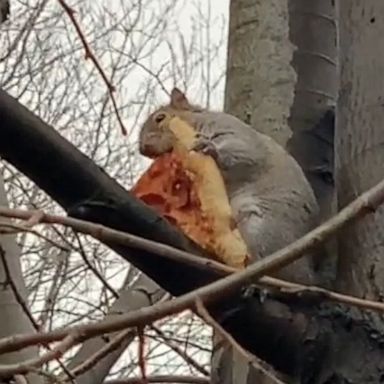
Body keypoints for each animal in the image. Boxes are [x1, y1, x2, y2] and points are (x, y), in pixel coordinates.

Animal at [138, 88, 318, 284]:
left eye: (160, 118)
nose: (142, 149)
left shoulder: (232, 132)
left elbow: (243, 152)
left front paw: (210, 148)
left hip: (261, 229)